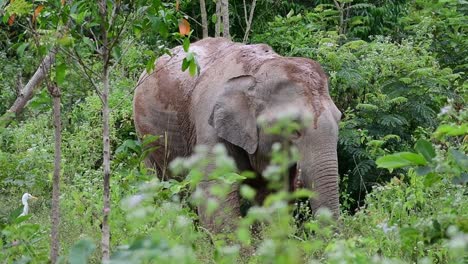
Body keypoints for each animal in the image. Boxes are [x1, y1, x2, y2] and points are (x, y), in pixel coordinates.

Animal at [133, 37, 342, 233]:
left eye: (339, 120)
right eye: (293, 130)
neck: (258, 71)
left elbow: (273, 194)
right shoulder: (208, 123)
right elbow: (215, 190)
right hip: (145, 138)